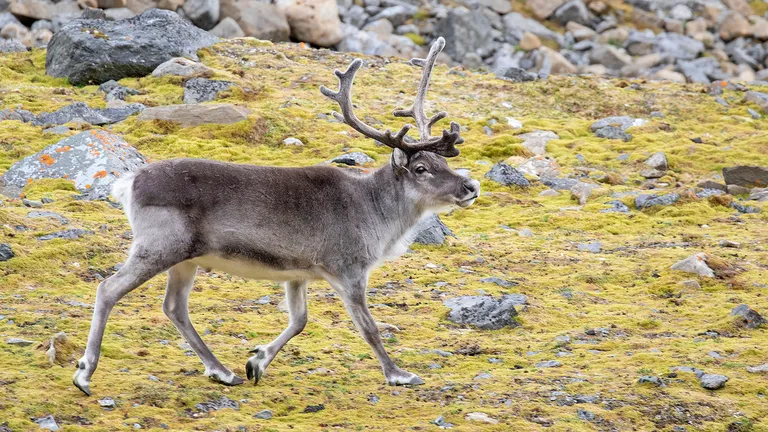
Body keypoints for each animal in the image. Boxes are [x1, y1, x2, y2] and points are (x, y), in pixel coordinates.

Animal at [72, 37, 480, 396]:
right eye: (422, 168)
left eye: (444, 163)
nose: (471, 185)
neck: (376, 212)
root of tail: (128, 183)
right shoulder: (348, 267)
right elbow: (369, 327)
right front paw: (399, 374)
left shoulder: (298, 272)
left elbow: (298, 321)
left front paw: (256, 362)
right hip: (159, 246)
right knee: (108, 289)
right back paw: (85, 373)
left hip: (185, 258)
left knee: (174, 307)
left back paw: (222, 371)